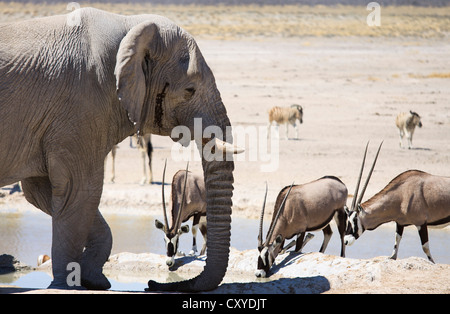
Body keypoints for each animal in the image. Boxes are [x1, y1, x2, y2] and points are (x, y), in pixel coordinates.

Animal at [0, 7, 239, 292]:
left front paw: (93, 280)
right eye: (189, 90)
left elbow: (45, 193)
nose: (151, 284)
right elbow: (79, 192)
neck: (129, 25)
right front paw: (67, 285)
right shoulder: (79, 108)